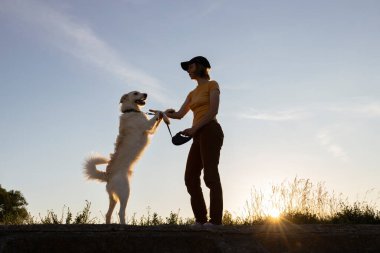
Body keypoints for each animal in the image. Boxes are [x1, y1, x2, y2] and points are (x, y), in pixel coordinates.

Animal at [84, 90, 164, 223]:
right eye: (135, 93)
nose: (146, 94)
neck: (131, 110)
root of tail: (107, 176)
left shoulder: (151, 129)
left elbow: (158, 121)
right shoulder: (147, 125)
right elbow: (155, 117)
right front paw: (160, 112)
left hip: (113, 198)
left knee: (108, 214)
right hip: (125, 192)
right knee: (121, 212)